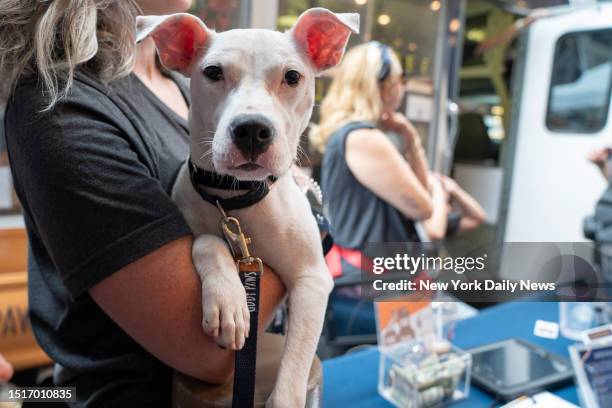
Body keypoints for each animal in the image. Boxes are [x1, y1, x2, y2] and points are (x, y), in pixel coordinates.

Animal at [137, 7, 358, 406]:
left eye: (292, 77)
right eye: (213, 72)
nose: (252, 130)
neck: (236, 199)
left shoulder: (312, 279)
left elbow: (293, 370)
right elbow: (206, 240)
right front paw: (228, 301)